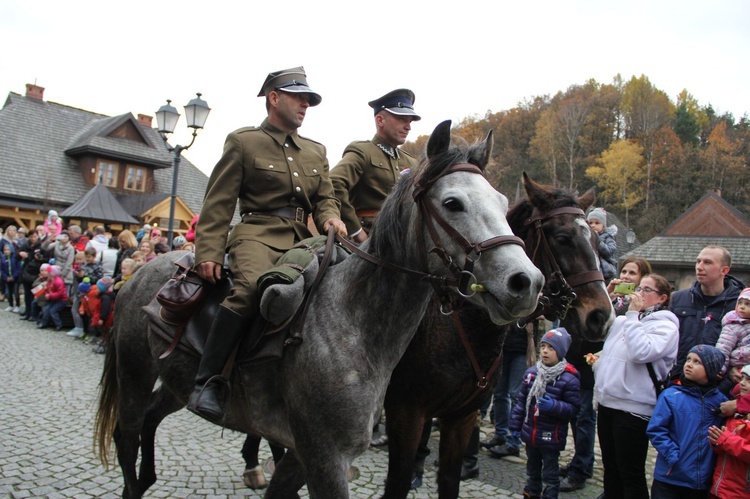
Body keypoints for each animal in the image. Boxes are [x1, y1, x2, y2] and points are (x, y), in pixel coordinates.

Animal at [382, 174, 616, 498]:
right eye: (562, 238)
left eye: (595, 240)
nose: (601, 316)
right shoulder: (406, 413)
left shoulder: (461, 416)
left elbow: (449, 478)